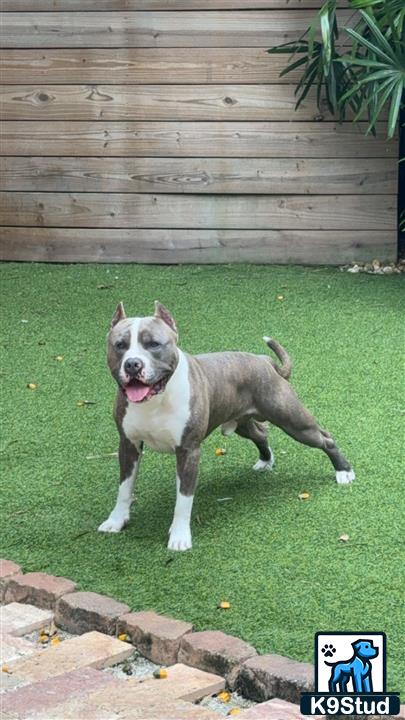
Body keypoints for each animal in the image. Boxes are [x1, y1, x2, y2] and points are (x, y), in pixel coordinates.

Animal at [98, 300, 354, 548]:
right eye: (120, 345)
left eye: (153, 344)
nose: (132, 364)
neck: (155, 400)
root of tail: (264, 361)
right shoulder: (128, 445)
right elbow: (124, 489)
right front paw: (116, 521)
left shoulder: (188, 450)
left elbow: (184, 498)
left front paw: (179, 537)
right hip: (243, 424)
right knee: (261, 434)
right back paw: (266, 460)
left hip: (294, 421)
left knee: (325, 438)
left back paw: (344, 471)